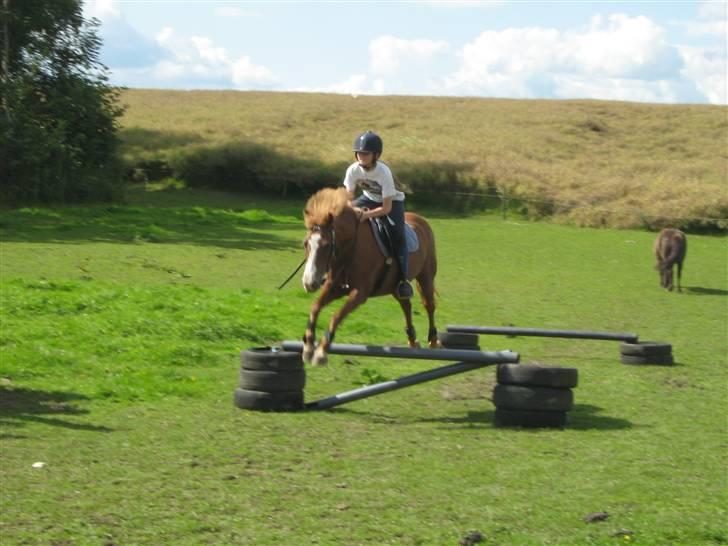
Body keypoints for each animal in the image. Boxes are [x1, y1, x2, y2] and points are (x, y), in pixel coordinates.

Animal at [300, 187, 439, 365]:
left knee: (429, 306)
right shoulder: (335, 287)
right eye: (305, 243)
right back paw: (412, 340)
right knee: (406, 305)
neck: (350, 248)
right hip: (395, 285)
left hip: (426, 276)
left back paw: (433, 340)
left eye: (326, 245)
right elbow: (315, 307)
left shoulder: (360, 293)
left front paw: (321, 352)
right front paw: (309, 345)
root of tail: (422, 220)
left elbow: (336, 316)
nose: (309, 283)